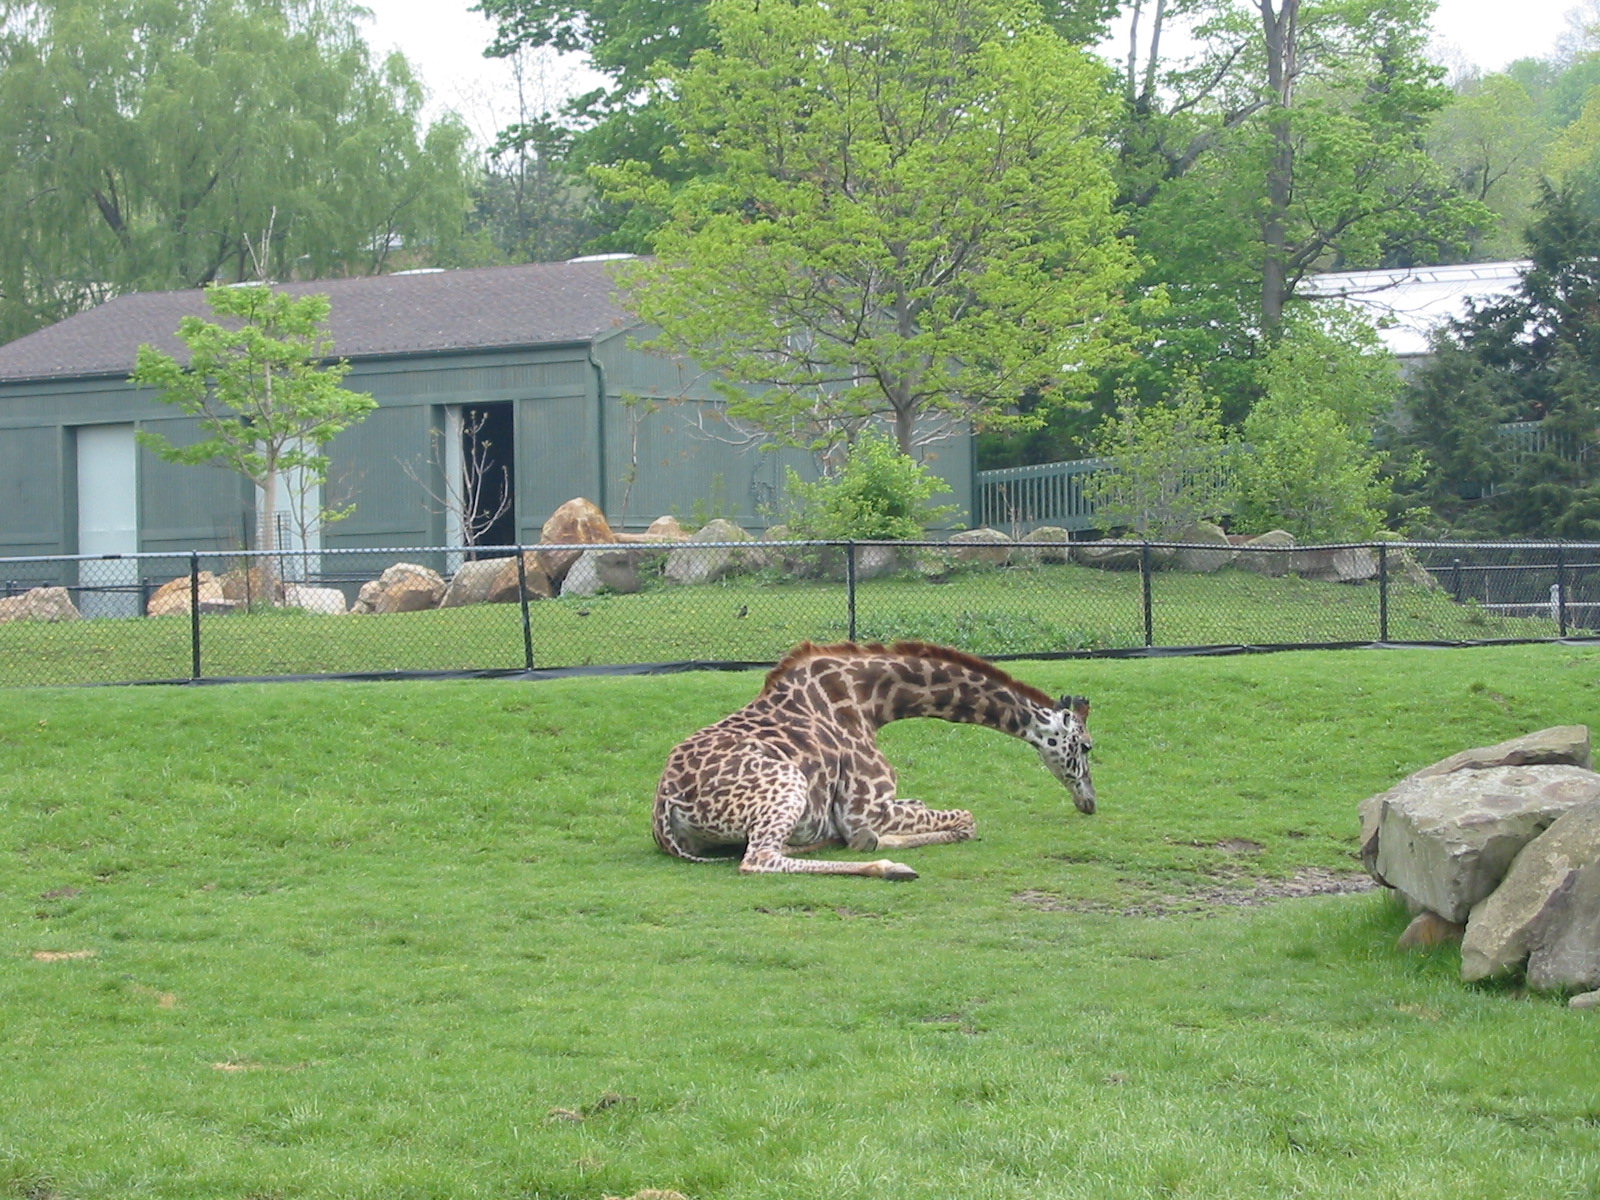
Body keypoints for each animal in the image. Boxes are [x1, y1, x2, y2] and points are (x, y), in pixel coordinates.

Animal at [652, 640, 1095, 880]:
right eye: (1088, 746)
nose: (1089, 802)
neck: (872, 702)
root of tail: (664, 810)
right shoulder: (862, 810)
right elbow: (968, 820)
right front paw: (876, 842)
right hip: (787, 784)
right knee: (758, 859)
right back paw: (890, 866)